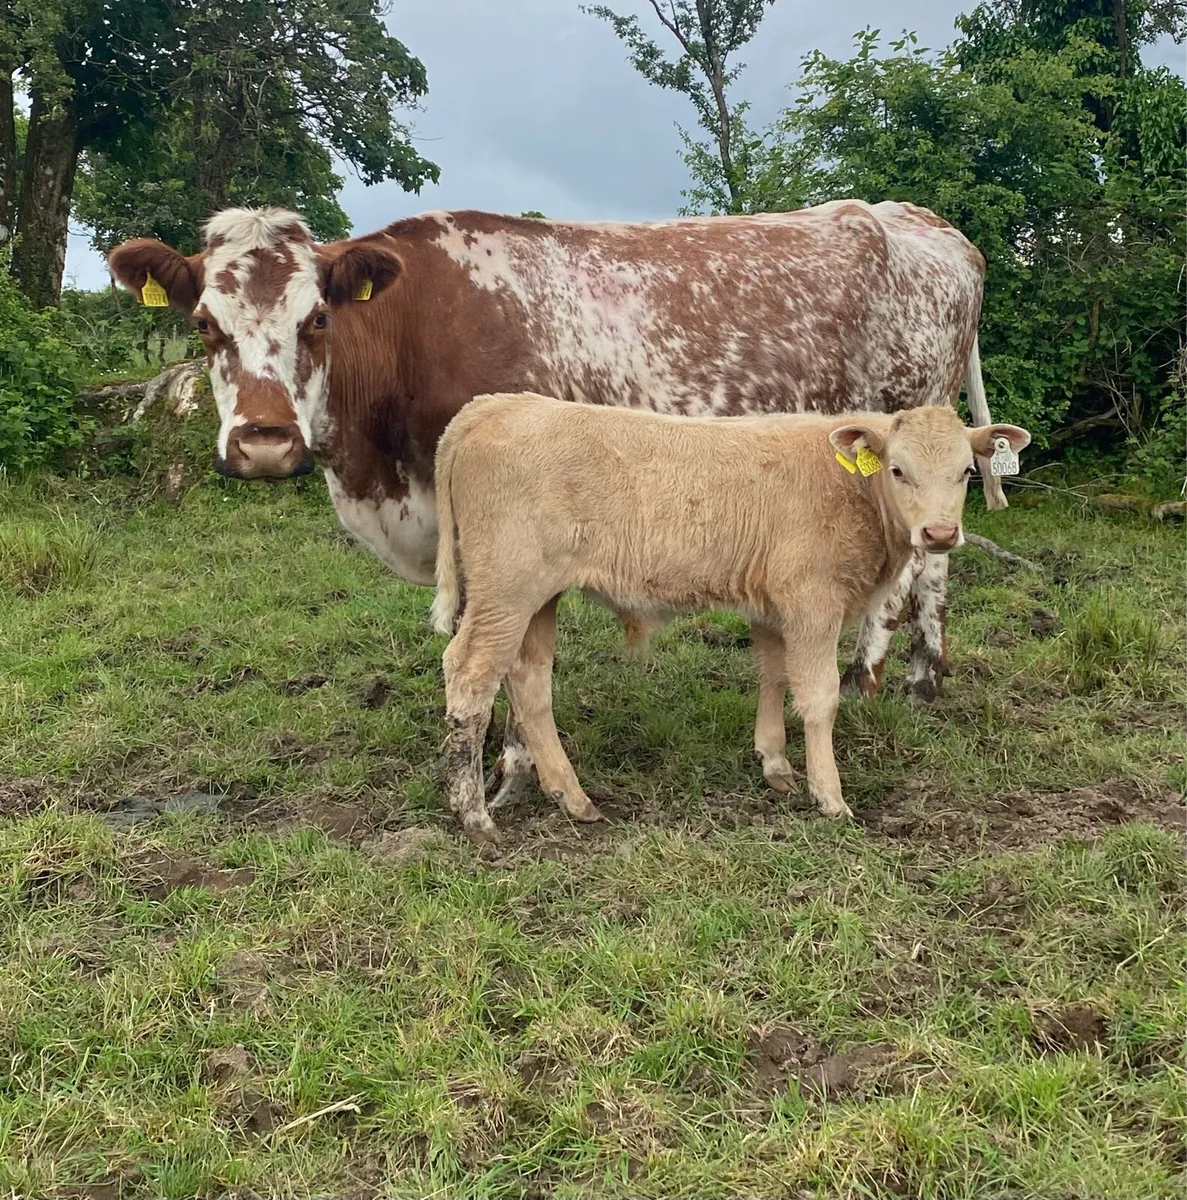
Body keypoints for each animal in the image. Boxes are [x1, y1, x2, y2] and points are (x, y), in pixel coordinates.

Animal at [431, 393, 1030, 842]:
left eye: (965, 471)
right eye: (898, 469)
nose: (940, 533)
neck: (851, 490)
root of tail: (495, 405)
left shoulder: (771, 605)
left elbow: (774, 676)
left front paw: (776, 766)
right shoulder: (812, 601)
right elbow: (818, 696)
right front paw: (829, 796)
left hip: (538, 598)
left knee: (529, 681)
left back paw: (573, 799)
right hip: (506, 590)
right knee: (470, 672)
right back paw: (475, 816)